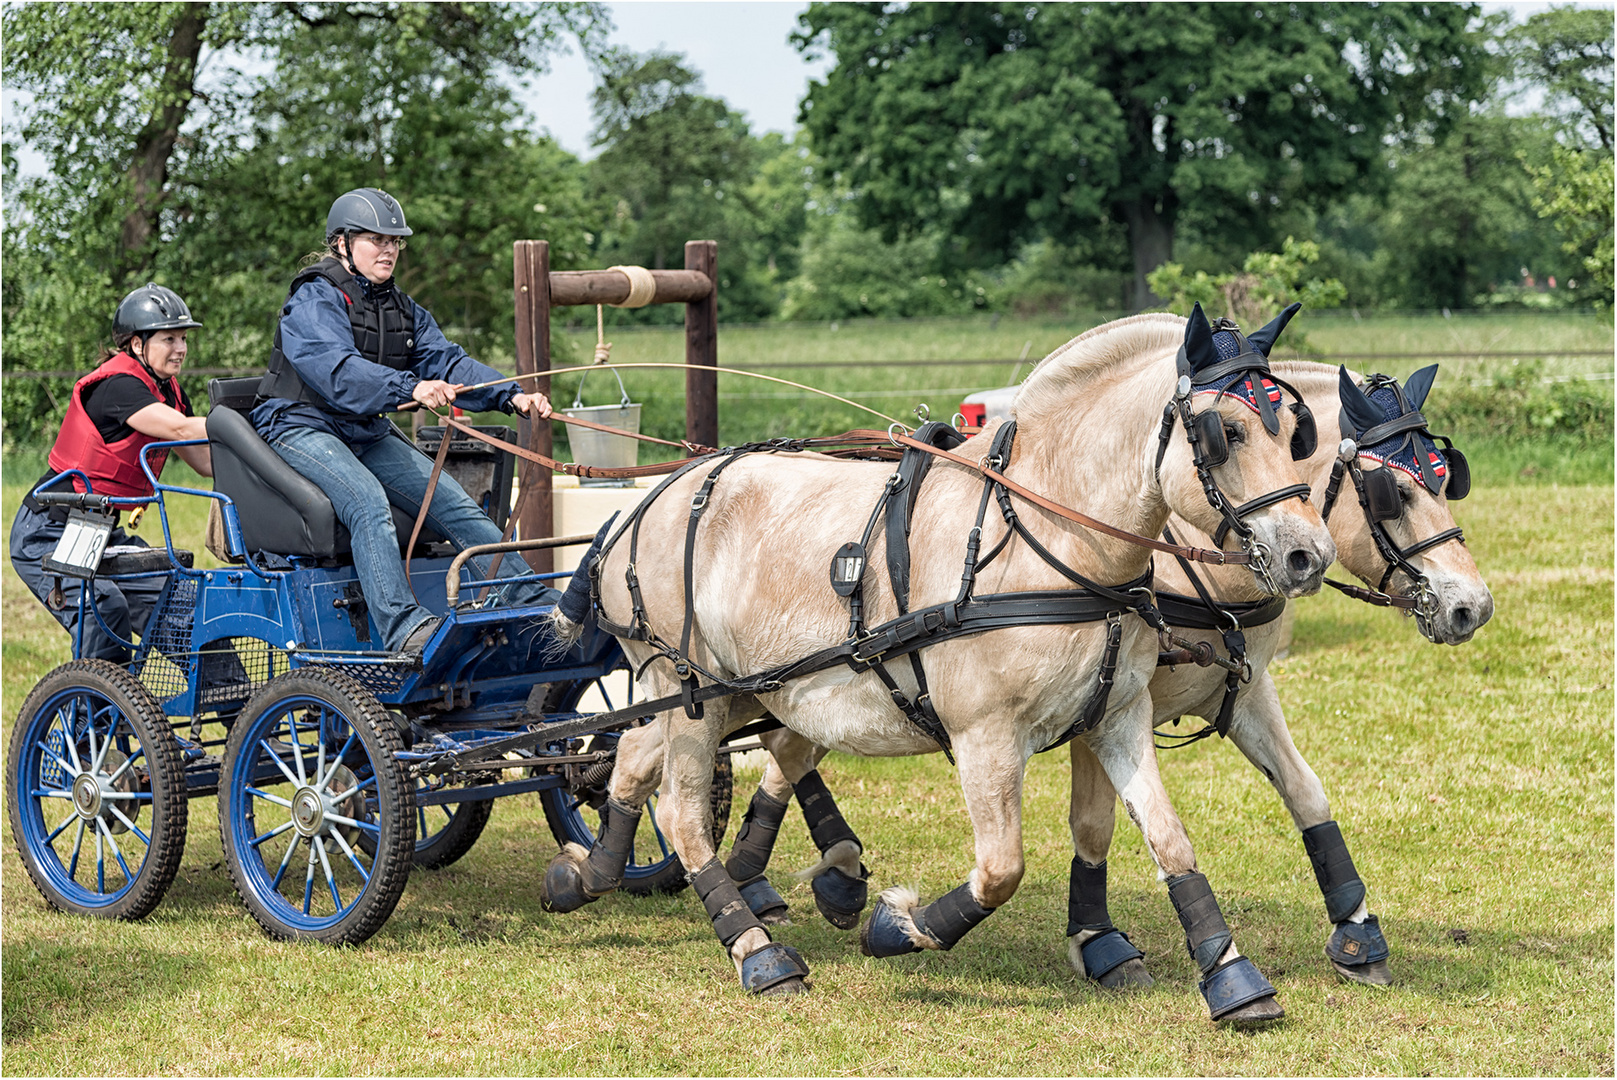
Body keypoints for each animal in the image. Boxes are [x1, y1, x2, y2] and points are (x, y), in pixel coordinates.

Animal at [549, 312, 1332, 1021]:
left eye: (1294, 430)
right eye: (1225, 432)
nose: (1308, 554)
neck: (1048, 538)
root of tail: (642, 504)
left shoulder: (1117, 715)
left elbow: (1167, 838)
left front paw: (1232, 978)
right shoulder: (985, 736)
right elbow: (1001, 869)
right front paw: (899, 927)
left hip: (735, 689)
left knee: (630, 765)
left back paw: (588, 875)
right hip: (688, 688)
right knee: (681, 814)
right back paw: (757, 951)